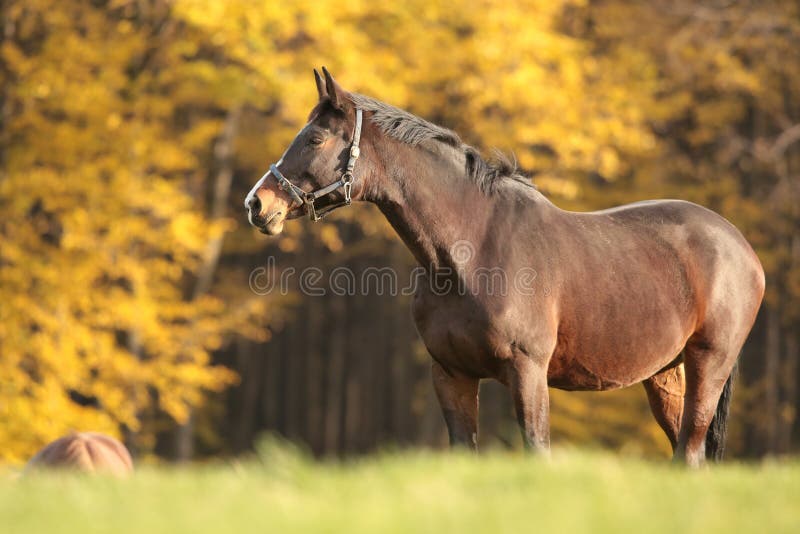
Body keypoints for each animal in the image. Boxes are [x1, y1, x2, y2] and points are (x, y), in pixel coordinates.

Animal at [244, 69, 764, 466]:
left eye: (315, 138)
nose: (257, 205)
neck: (471, 254)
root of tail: (739, 246)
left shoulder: (528, 372)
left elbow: (537, 450)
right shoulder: (450, 375)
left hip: (709, 364)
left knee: (690, 449)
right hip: (665, 375)